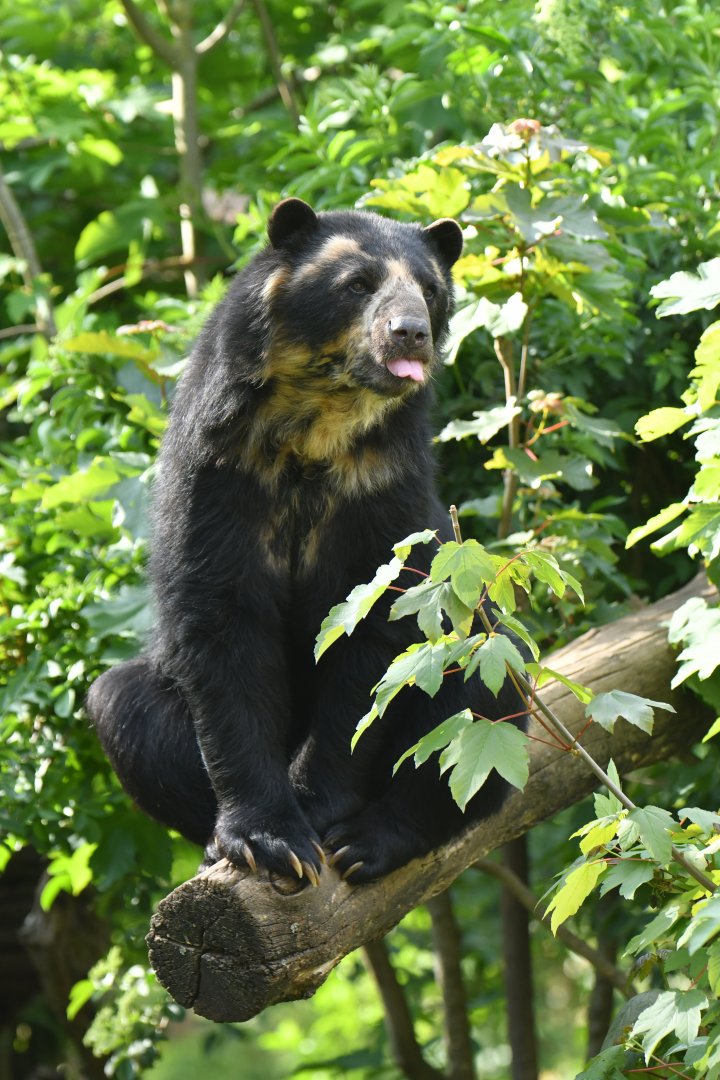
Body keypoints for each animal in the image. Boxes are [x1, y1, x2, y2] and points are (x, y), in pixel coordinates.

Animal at [86, 198, 526, 885]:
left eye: (429, 290)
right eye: (358, 284)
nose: (410, 332)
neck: (317, 424)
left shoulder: (386, 488)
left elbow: (372, 633)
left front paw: (318, 812)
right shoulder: (216, 478)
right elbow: (221, 624)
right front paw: (266, 838)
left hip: (474, 668)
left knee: (483, 694)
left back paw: (372, 840)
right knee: (122, 705)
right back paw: (210, 843)